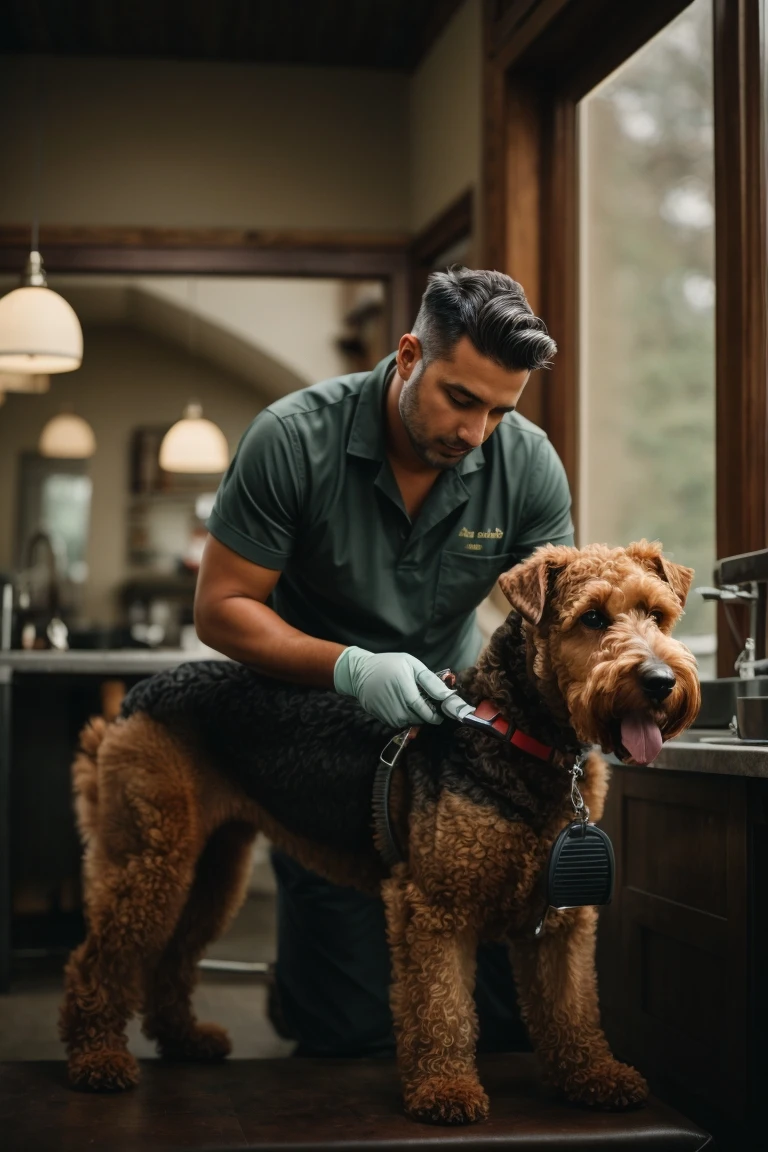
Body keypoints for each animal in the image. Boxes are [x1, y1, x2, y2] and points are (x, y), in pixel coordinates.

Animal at [56, 539, 700, 1124]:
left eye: (657, 614)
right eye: (592, 617)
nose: (660, 682)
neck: (512, 733)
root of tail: (136, 696)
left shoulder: (562, 917)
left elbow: (572, 1007)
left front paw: (595, 1076)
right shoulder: (434, 908)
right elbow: (442, 1008)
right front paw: (444, 1090)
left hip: (212, 868)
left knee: (172, 958)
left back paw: (186, 1039)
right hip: (151, 858)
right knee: (98, 959)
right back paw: (97, 1060)